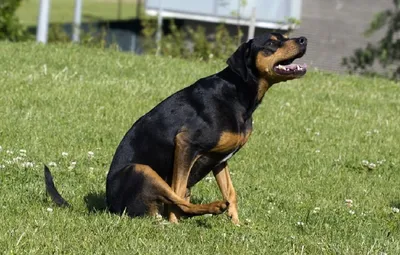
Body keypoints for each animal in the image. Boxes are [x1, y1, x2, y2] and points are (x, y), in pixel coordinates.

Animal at [46, 32, 306, 224]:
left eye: (285, 36)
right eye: (271, 42)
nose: (304, 39)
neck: (238, 92)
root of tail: (109, 207)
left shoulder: (221, 160)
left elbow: (232, 193)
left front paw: (237, 227)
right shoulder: (186, 144)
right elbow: (178, 190)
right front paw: (175, 224)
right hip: (141, 169)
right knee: (178, 198)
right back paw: (207, 209)